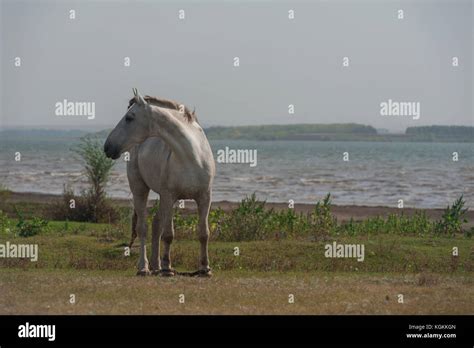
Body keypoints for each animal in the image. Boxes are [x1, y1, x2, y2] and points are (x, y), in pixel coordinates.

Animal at [105, 89, 215, 278]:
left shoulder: (204, 197)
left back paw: (155, 265)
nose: (107, 147)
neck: (192, 156)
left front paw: (205, 269)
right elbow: (169, 234)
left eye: (129, 117)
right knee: (143, 227)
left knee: (156, 224)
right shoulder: (169, 196)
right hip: (141, 190)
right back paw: (145, 267)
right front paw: (167, 268)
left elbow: (204, 233)